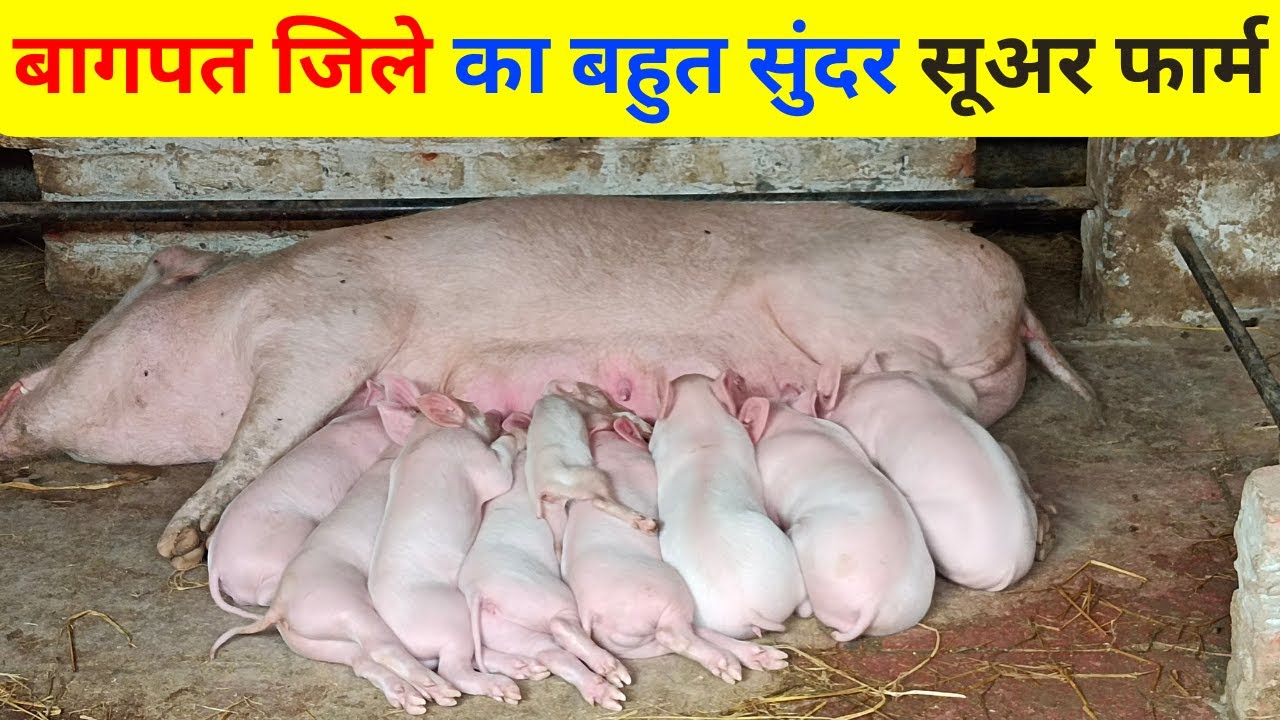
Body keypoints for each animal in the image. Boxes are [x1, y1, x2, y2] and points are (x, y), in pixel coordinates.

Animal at [209, 453, 461, 715]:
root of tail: (280, 606)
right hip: (343, 605)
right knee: (381, 649)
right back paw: (444, 692)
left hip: (315, 644)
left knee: (361, 661)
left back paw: (415, 700)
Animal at [366, 392, 523, 704]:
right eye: (474, 408)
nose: (498, 411)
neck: (427, 433)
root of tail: (407, 638)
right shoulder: (476, 457)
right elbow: (500, 473)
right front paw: (514, 434)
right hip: (453, 618)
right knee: (455, 669)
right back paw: (506, 690)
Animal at [458, 415, 629, 710]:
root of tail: (476, 591)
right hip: (545, 593)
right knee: (561, 626)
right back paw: (617, 674)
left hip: (503, 631)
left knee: (551, 654)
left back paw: (610, 695)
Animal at [562, 411, 790, 681]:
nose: (649, 424)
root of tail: (591, 612)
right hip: (667, 591)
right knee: (674, 635)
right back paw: (732, 667)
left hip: (637, 646)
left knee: (679, 637)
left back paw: (769, 659)